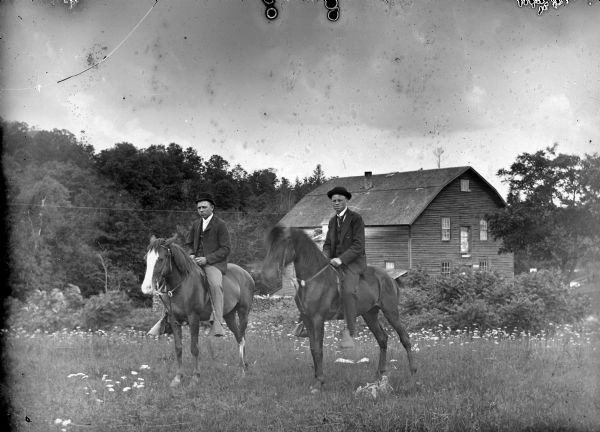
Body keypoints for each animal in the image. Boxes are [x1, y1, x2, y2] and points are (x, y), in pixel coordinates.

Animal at [141, 236, 253, 388]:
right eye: (146, 259)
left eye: (161, 259)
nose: (146, 287)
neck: (181, 285)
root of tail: (246, 274)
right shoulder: (174, 320)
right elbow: (178, 348)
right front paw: (178, 378)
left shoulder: (193, 318)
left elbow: (194, 348)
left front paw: (195, 377)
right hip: (229, 315)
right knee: (239, 336)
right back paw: (244, 366)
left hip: (243, 313)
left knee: (241, 338)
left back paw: (241, 371)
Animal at [262, 224, 418, 394]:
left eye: (283, 242)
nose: (267, 274)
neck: (313, 280)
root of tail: (389, 278)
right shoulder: (307, 319)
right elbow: (312, 348)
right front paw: (317, 378)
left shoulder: (318, 319)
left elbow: (318, 349)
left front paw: (320, 382)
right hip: (369, 315)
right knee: (382, 339)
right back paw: (379, 375)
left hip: (391, 312)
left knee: (405, 338)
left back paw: (413, 373)